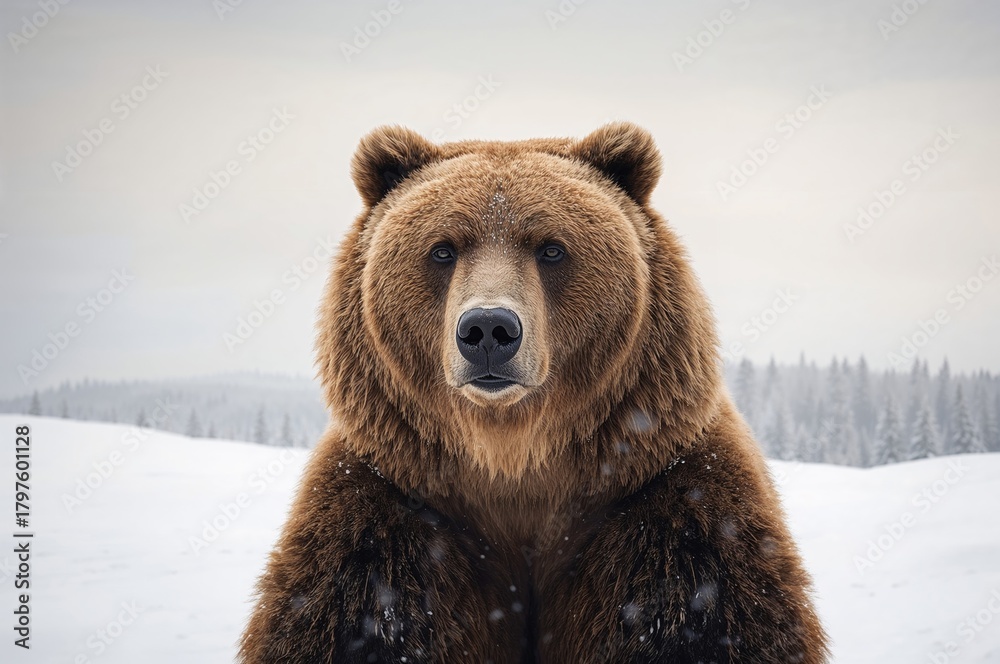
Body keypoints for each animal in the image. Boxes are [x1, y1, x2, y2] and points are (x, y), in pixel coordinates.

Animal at [239, 123, 828, 663]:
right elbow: (355, 619)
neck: (516, 467)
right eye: (443, 250)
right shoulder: (389, 523)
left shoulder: (673, 514)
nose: (488, 329)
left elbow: (702, 615)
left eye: (551, 249)